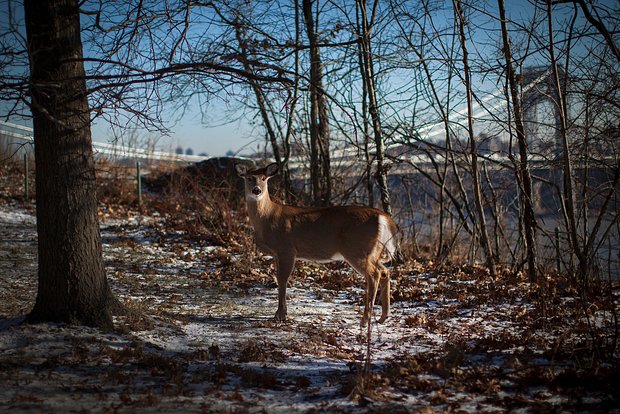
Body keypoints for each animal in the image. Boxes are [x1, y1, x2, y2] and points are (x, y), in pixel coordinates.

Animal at [235, 162, 400, 326]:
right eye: (249, 178)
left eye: (263, 178)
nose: (257, 190)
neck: (267, 218)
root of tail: (384, 218)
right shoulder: (277, 253)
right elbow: (278, 277)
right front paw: (281, 313)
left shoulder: (286, 248)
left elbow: (282, 279)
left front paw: (280, 315)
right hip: (373, 251)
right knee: (385, 271)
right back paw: (383, 317)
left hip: (357, 248)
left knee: (374, 275)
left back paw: (365, 320)